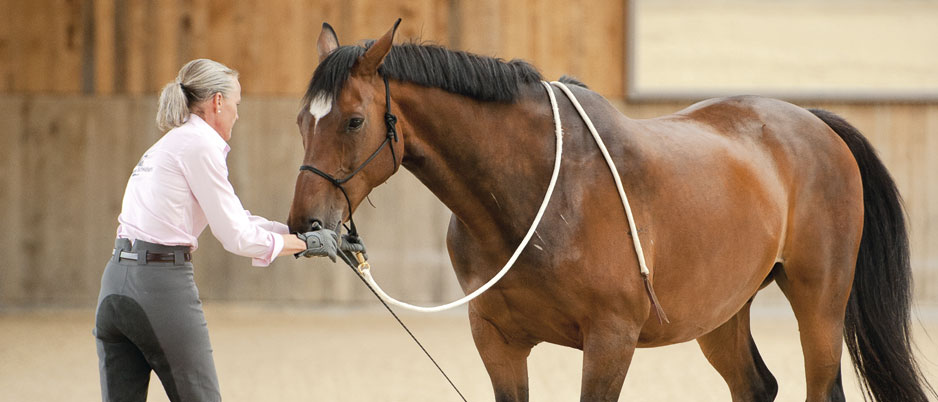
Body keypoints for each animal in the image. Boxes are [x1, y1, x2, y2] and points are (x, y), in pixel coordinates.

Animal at [288, 20, 932, 400]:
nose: (306, 225)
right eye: (301, 120)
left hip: (819, 304)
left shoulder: (609, 342)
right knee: (756, 386)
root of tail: (814, 122)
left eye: (353, 121)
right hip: (722, 313)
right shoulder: (497, 341)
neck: (537, 200)